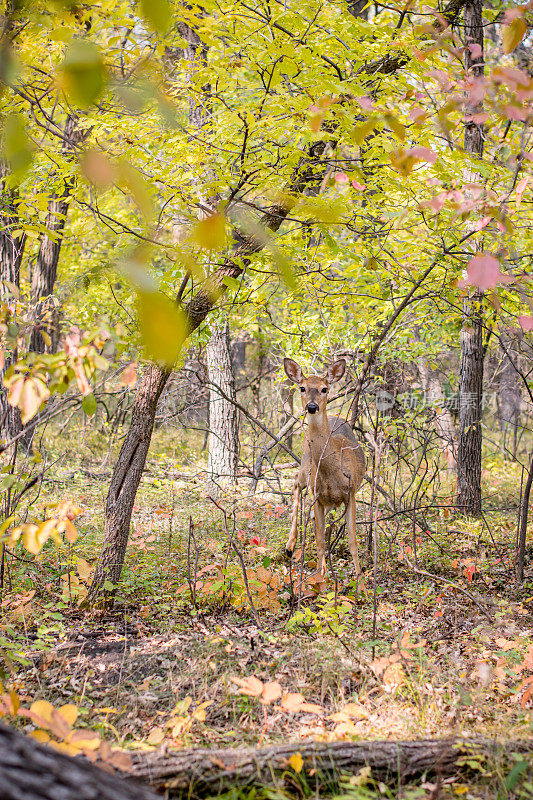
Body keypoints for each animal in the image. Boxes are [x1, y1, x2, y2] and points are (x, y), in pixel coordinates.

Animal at [282, 360, 366, 580]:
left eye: (324, 389)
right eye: (302, 388)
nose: (312, 407)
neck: (332, 472)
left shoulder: (350, 493)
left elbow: (353, 543)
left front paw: (360, 582)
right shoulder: (318, 496)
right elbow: (320, 543)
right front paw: (319, 580)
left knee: (313, 518)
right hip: (305, 467)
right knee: (295, 484)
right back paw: (290, 545)